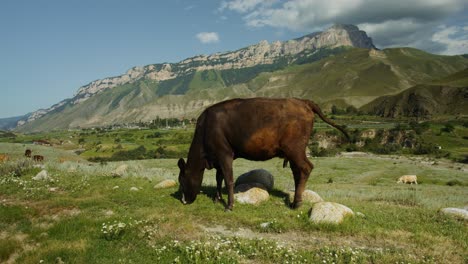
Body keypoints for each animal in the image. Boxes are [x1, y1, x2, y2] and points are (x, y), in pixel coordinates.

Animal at [177, 98, 350, 211]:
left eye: (181, 180)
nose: (183, 201)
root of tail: (302, 101)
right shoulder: (218, 156)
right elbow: (219, 177)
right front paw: (217, 198)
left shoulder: (224, 153)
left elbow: (228, 179)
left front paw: (229, 205)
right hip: (293, 151)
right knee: (297, 172)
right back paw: (294, 201)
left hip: (295, 148)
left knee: (305, 168)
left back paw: (297, 204)